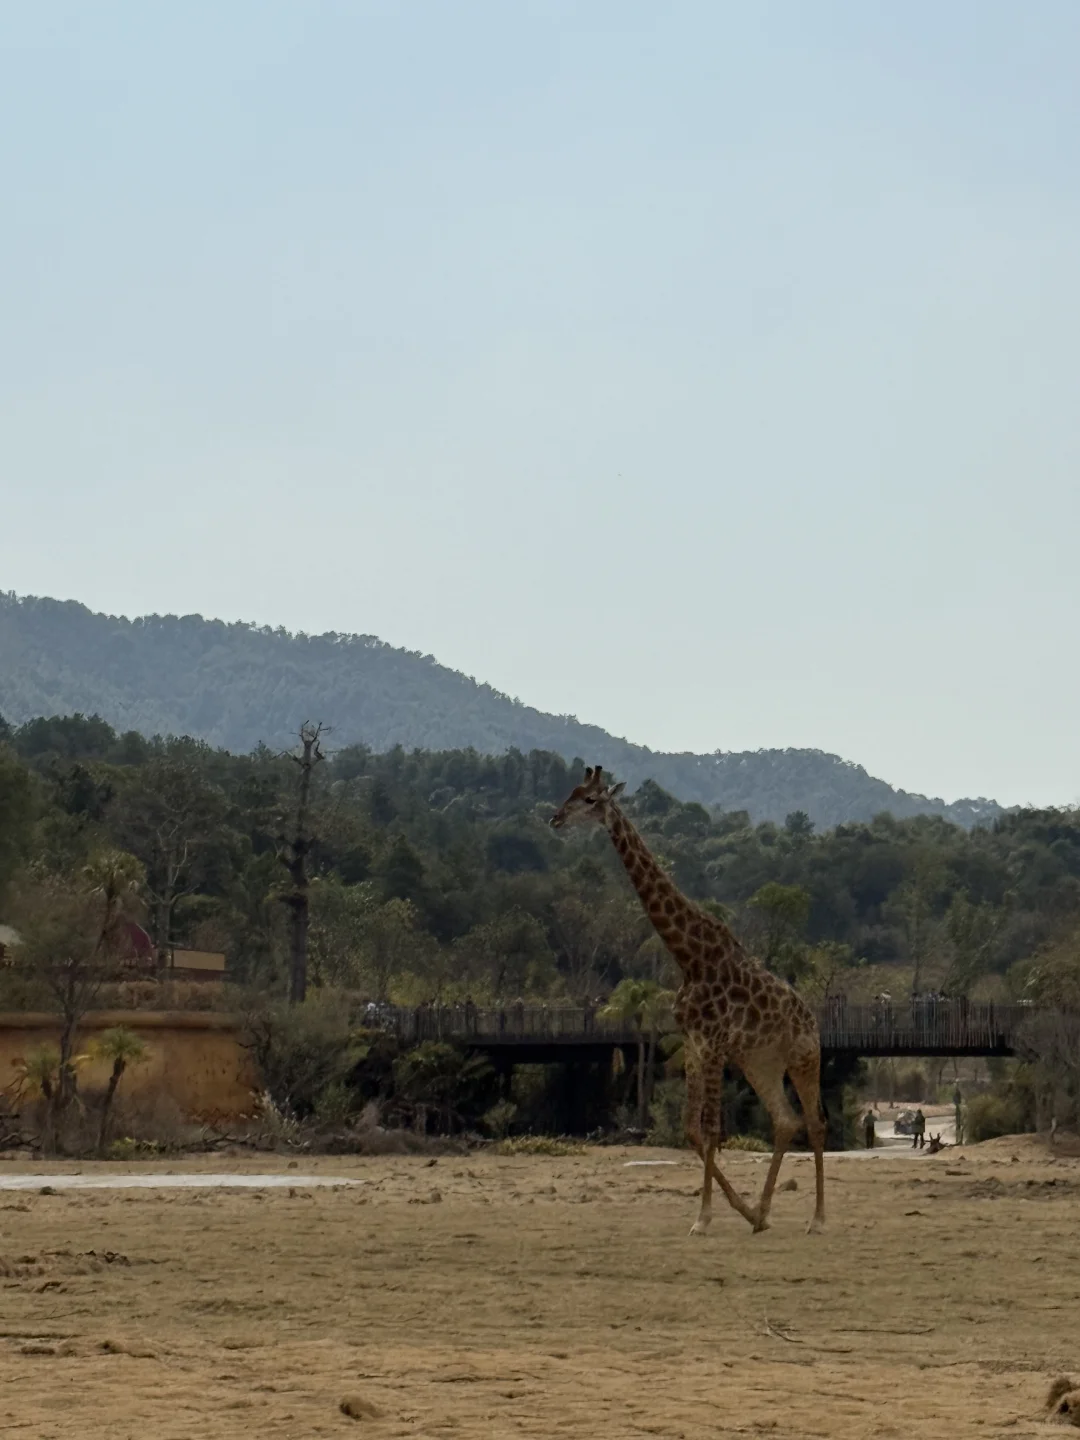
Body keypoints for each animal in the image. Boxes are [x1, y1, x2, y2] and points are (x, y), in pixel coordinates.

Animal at [552, 766, 823, 1238]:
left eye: (590, 800)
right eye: (572, 792)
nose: (555, 819)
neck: (690, 958)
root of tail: (813, 1019)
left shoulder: (713, 1045)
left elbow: (712, 1129)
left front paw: (704, 1218)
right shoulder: (696, 1047)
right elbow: (691, 1130)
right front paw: (741, 1211)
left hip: (804, 1059)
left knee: (817, 1124)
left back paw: (818, 1219)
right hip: (760, 1063)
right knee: (786, 1121)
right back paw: (763, 1215)